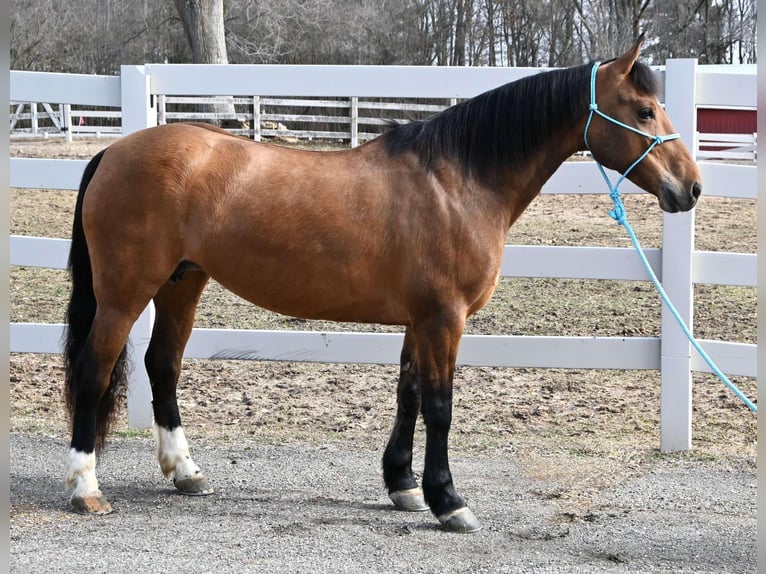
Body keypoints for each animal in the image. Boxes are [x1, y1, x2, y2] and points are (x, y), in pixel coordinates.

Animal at [64, 37, 704, 536]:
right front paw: (449, 501)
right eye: (644, 110)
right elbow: (441, 406)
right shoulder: (444, 317)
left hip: (182, 283)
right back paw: (86, 487)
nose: (692, 188)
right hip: (125, 293)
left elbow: (410, 395)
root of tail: (112, 151)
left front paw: (403, 485)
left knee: (163, 364)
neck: (457, 182)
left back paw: (186, 472)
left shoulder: (420, 319)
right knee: (95, 370)